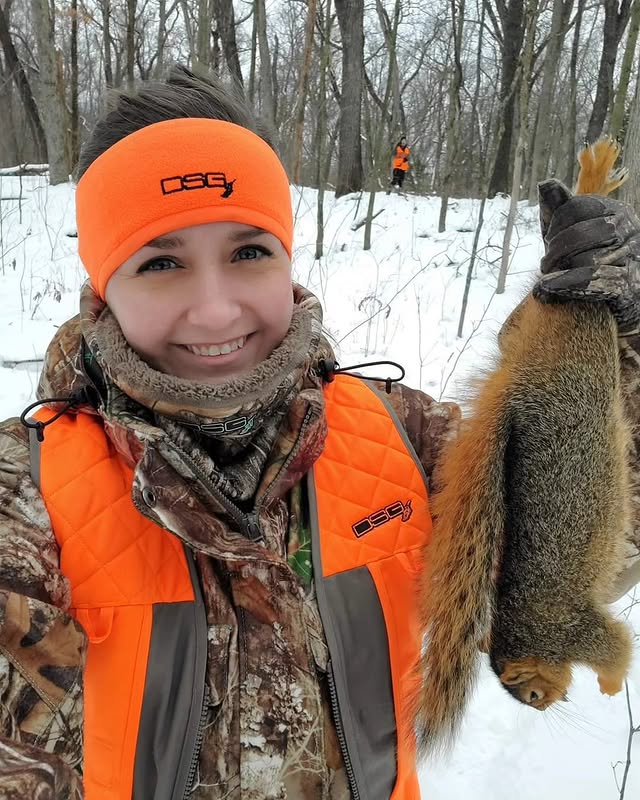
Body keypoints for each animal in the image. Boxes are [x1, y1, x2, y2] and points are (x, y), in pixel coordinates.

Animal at [413, 136, 635, 755]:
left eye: (529, 691)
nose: (548, 703)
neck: (530, 634)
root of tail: (521, 383)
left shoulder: (576, 629)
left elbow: (617, 649)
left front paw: (609, 685)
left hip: (558, 320)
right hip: (554, 323)